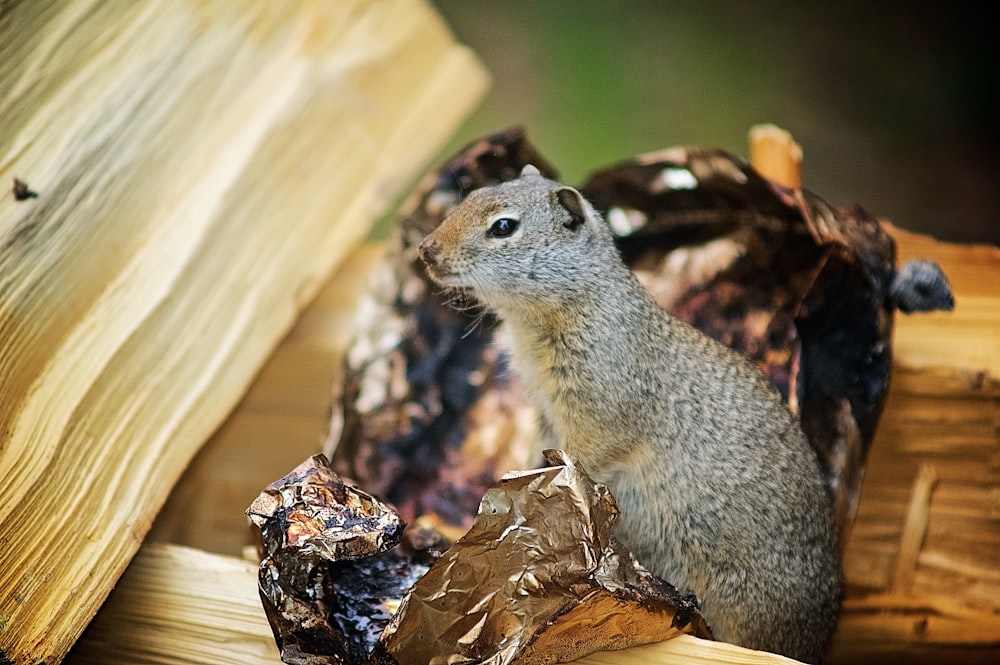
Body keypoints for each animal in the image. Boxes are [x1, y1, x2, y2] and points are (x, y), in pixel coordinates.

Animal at [418, 165, 840, 660]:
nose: (426, 250)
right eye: (475, 194)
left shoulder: (600, 411)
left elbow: (585, 456)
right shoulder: (544, 410)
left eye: (503, 226)